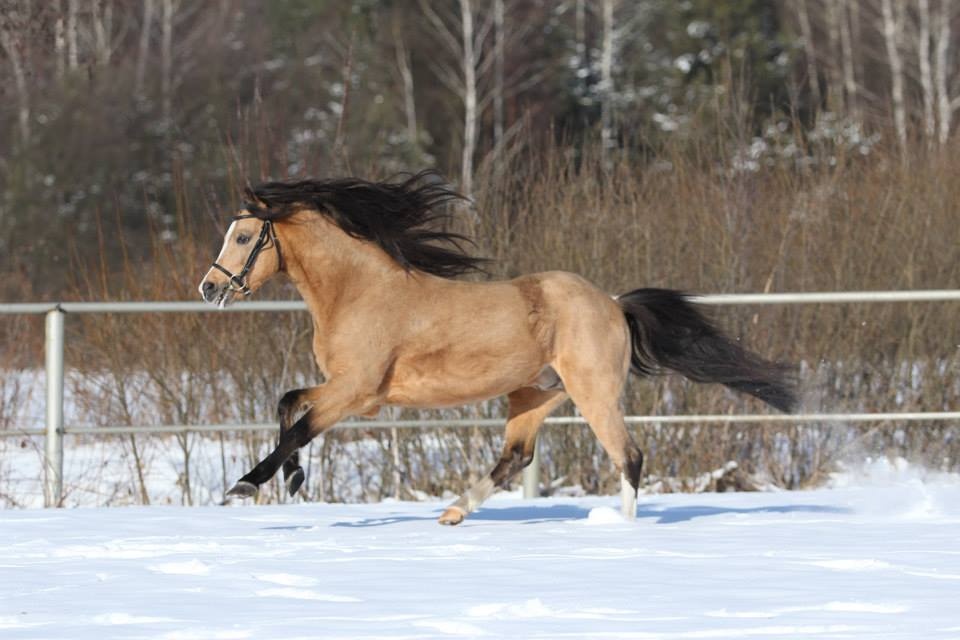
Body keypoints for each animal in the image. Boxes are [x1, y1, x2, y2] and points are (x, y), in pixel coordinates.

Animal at [198, 170, 797, 525]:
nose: (208, 287)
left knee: (627, 455)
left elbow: (297, 424)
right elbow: (287, 404)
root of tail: (611, 302)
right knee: (516, 456)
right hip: (536, 394)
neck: (359, 291)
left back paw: (621, 531)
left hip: (593, 392)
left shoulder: (357, 393)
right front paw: (294, 479)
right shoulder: (343, 389)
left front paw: (244, 487)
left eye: (245, 237)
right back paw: (453, 513)